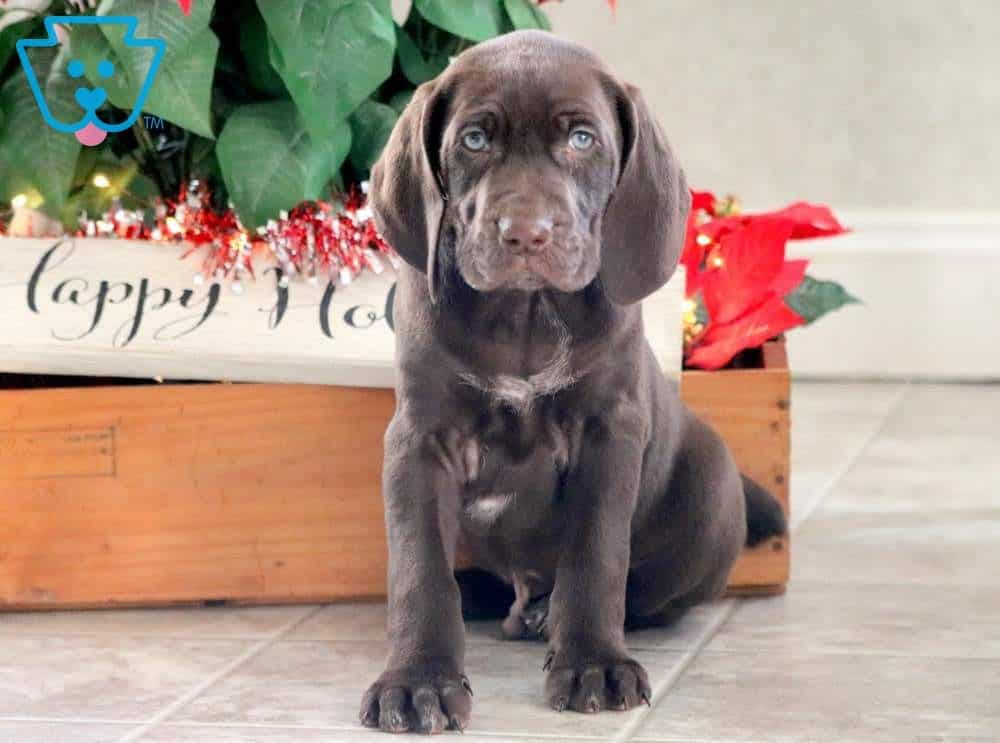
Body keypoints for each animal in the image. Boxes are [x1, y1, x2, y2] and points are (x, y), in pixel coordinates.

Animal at [362, 30, 788, 740]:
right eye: (474, 140)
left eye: (582, 139)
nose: (526, 234)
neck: (525, 315)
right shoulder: (419, 439)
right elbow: (419, 565)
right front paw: (418, 679)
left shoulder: (608, 432)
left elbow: (596, 557)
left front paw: (594, 666)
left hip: (706, 487)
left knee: (641, 594)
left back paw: (547, 618)